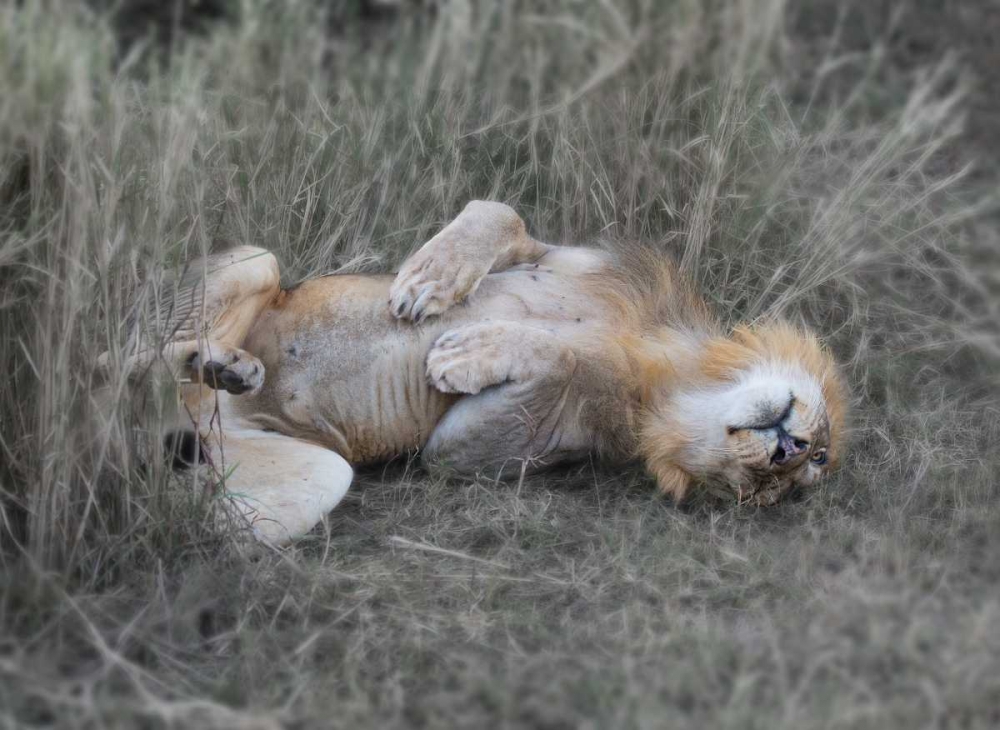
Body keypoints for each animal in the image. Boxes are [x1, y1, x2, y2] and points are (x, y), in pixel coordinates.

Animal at [109, 201, 847, 544]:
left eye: (770, 491)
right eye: (820, 455)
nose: (788, 450)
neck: (666, 369)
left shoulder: (486, 450)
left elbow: (565, 358)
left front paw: (463, 352)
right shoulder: (560, 252)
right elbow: (500, 213)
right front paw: (427, 282)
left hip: (312, 479)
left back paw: (180, 415)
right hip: (254, 261)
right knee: (117, 356)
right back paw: (219, 362)